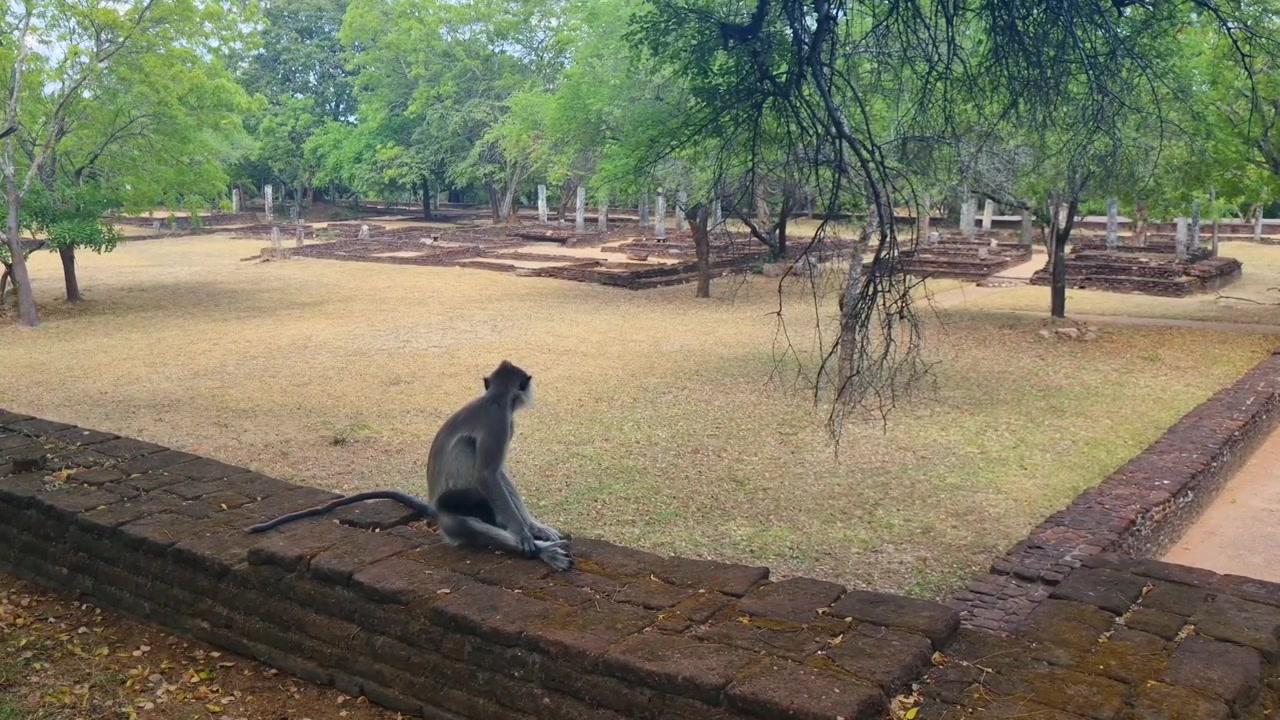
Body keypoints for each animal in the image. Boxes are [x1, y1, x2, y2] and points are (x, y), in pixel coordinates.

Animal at [245, 360, 574, 571]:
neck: (494, 399)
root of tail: (436, 511)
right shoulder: (498, 421)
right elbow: (488, 473)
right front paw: (525, 537)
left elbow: (499, 473)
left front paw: (534, 526)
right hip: (452, 516)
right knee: (469, 514)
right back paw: (540, 552)